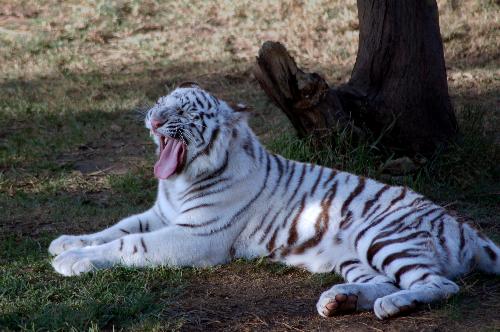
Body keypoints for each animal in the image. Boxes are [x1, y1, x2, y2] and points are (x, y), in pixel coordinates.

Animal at [49, 83, 500, 320]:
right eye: (163, 103)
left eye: (184, 112)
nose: (154, 118)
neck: (180, 182)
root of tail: (466, 229)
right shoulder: (162, 213)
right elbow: (119, 227)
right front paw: (66, 243)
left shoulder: (196, 235)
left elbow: (130, 243)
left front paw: (72, 261)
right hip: (353, 254)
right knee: (384, 280)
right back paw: (338, 300)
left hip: (382, 236)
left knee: (439, 284)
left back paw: (390, 306)